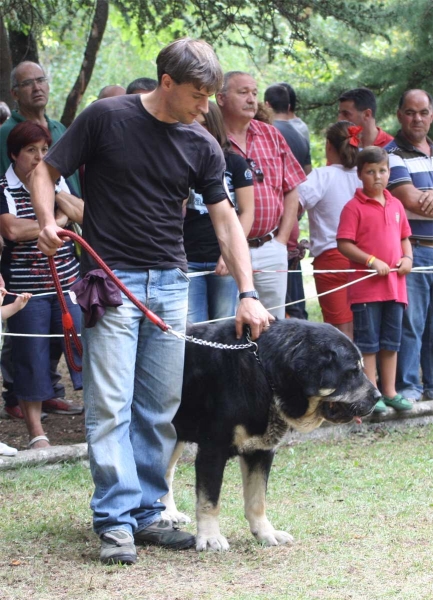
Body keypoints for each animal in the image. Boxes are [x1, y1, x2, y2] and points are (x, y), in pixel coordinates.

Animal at [160, 322, 376, 552]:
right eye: (353, 371)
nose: (377, 396)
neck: (266, 374)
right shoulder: (213, 449)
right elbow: (210, 501)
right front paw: (210, 537)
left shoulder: (261, 451)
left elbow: (257, 501)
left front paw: (265, 533)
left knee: (165, 474)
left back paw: (169, 513)